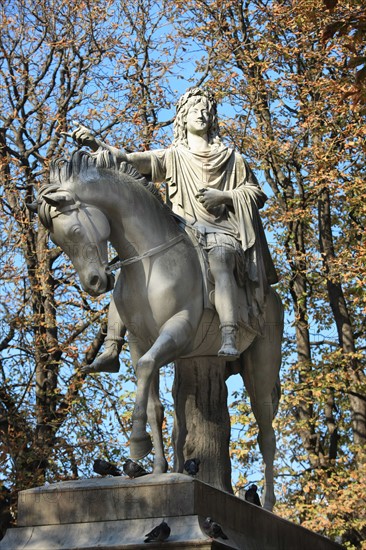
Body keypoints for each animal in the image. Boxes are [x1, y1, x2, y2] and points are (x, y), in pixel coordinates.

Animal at [30, 149, 284, 512]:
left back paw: (267, 503)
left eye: (76, 229)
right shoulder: (140, 342)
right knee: (183, 421)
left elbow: (147, 368)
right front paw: (157, 468)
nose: (94, 283)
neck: (148, 260)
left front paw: (137, 444)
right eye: (56, 240)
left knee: (267, 434)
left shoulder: (178, 330)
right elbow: (151, 398)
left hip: (260, 369)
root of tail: (271, 295)